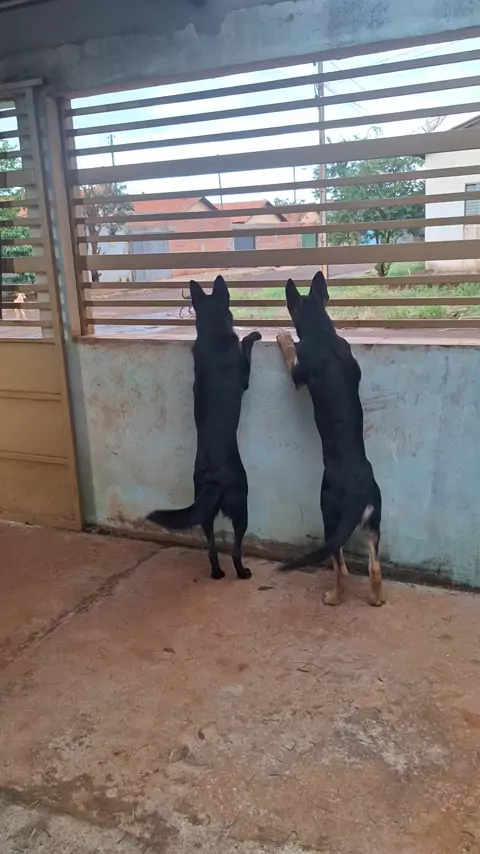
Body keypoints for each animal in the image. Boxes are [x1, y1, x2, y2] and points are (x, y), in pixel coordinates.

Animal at [146, 275, 261, 580]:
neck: (212, 333)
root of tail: (213, 478)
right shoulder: (244, 377)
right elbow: (246, 348)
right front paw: (252, 336)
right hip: (241, 504)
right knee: (235, 548)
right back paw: (241, 571)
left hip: (205, 513)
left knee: (211, 547)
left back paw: (217, 572)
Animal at [276, 270, 385, 606]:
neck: (323, 333)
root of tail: (359, 490)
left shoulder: (297, 373)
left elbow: (292, 354)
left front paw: (284, 337)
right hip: (373, 524)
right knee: (375, 567)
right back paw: (375, 598)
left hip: (329, 517)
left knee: (342, 568)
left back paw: (335, 597)